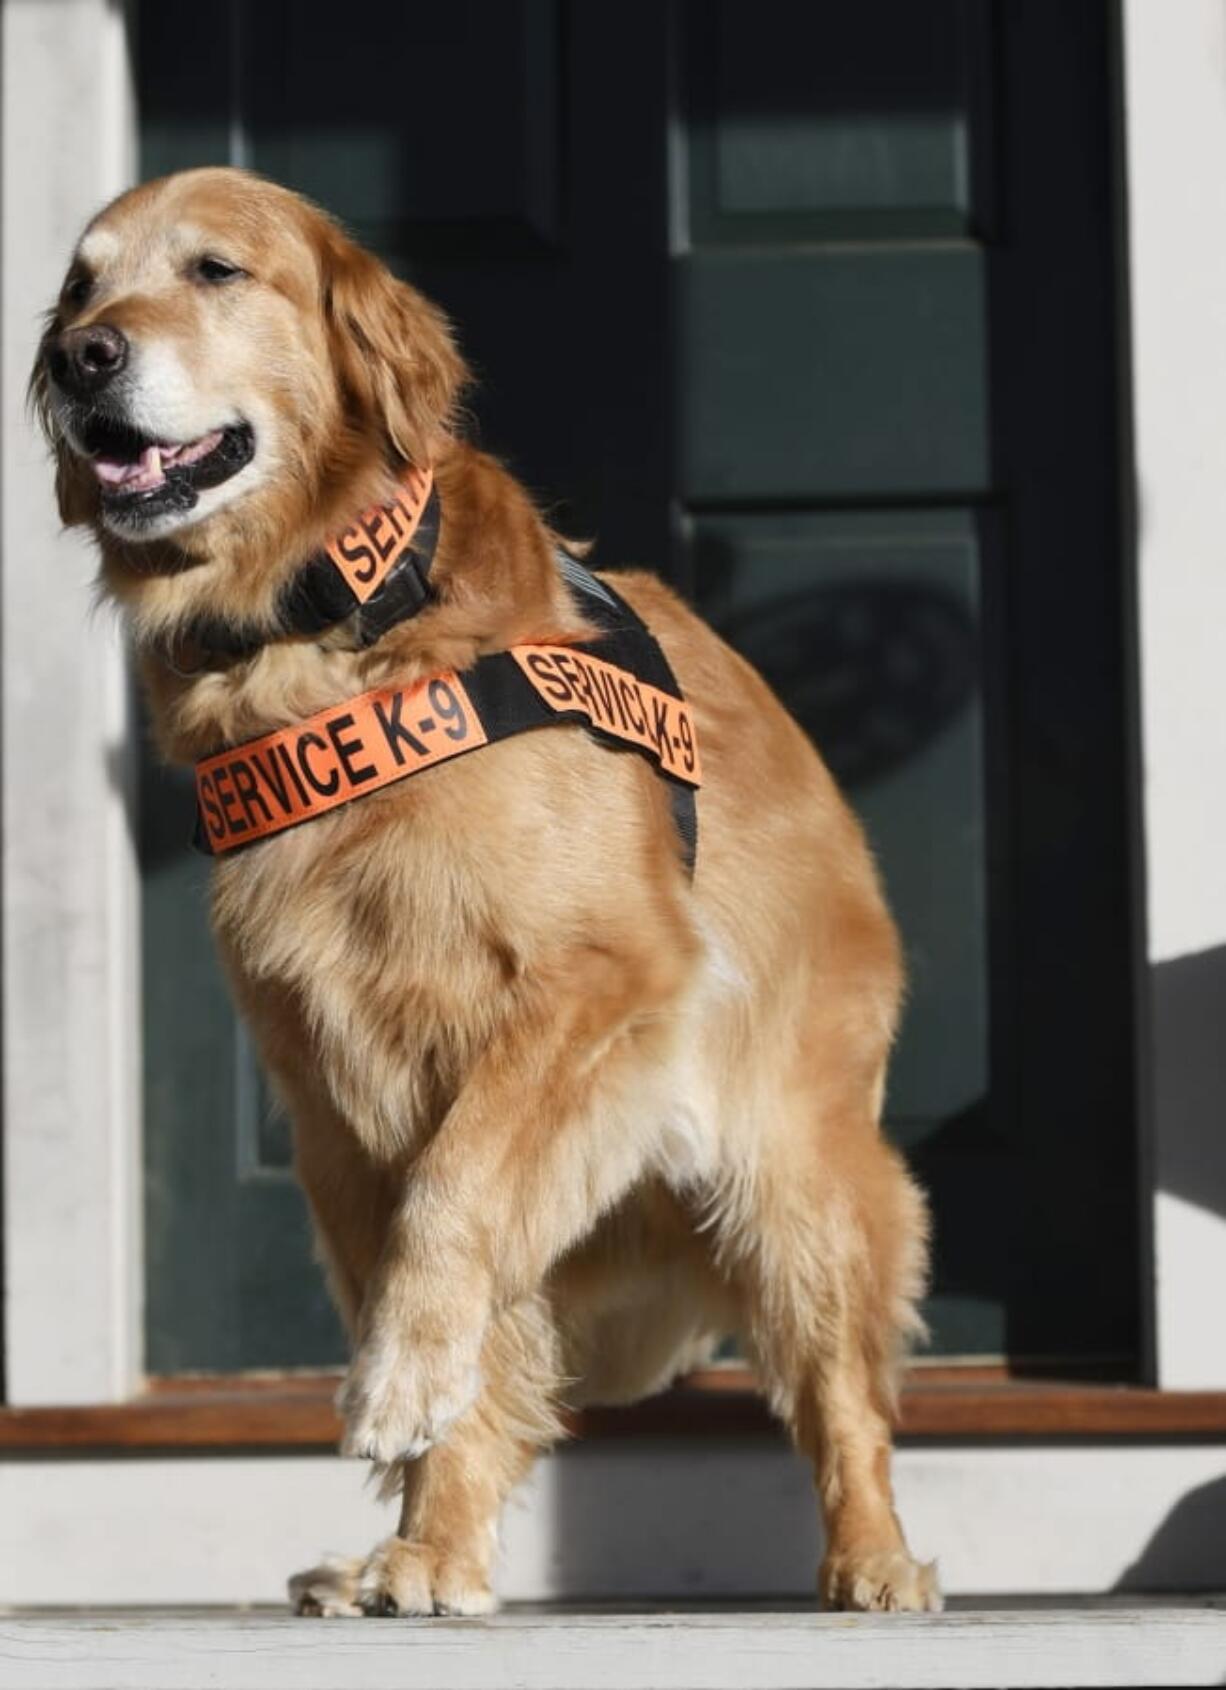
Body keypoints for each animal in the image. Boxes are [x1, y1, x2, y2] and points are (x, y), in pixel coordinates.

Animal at [35, 168, 940, 1608]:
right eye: (78, 288)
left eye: (215, 270)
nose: (80, 358)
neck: (337, 629)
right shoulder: (333, 1103)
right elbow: (447, 1290)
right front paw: (425, 1532)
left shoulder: (599, 983)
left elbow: (456, 1193)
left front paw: (399, 1383)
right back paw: (408, 1549)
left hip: (793, 1179)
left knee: (842, 1394)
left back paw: (872, 1559)